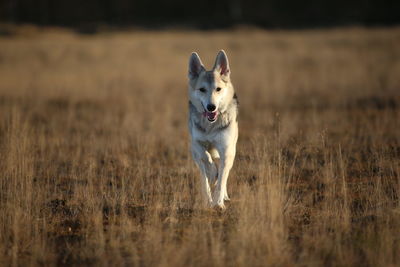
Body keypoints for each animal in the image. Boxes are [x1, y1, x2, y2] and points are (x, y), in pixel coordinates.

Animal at [188, 50, 238, 209]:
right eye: (202, 89)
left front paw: (219, 203)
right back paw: (207, 199)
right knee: (204, 178)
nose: (211, 107)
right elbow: (206, 157)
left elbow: (221, 180)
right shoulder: (196, 143)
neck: (210, 126)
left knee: (224, 174)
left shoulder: (226, 149)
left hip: (231, 152)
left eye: (218, 89)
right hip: (195, 155)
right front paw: (212, 173)